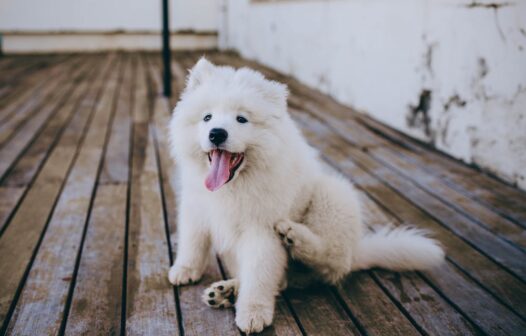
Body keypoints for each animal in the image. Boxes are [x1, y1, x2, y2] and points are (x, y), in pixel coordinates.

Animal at [168, 57, 446, 334]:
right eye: (207, 117)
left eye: (241, 119)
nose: (216, 133)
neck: (235, 185)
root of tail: (356, 251)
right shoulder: (196, 208)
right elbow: (192, 242)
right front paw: (184, 269)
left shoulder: (262, 230)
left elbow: (259, 276)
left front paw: (253, 313)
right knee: (283, 280)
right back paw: (226, 291)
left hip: (333, 194)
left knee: (328, 260)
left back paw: (294, 236)